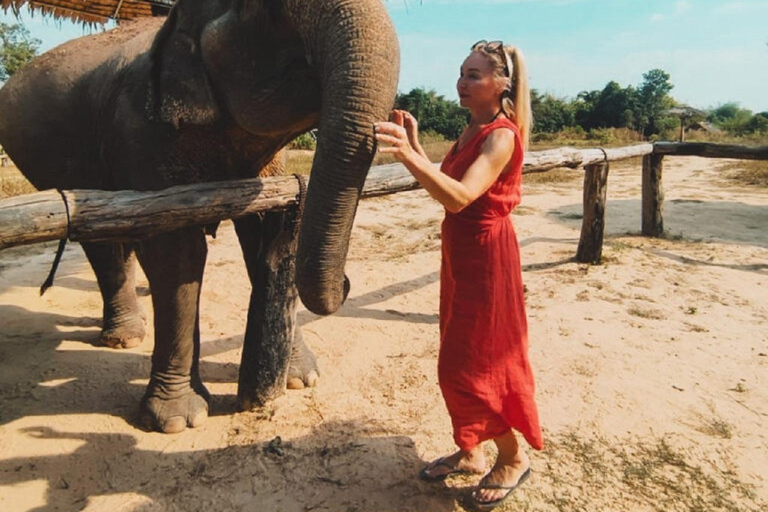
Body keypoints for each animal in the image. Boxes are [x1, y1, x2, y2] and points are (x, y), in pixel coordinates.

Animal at [0, 0, 400, 432]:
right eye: (266, 9)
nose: (346, 283)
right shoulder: (140, 132)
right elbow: (176, 251)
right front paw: (177, 421)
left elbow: (264, 232)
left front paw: (303, 379)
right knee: (102, 240)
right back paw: (124, 339)